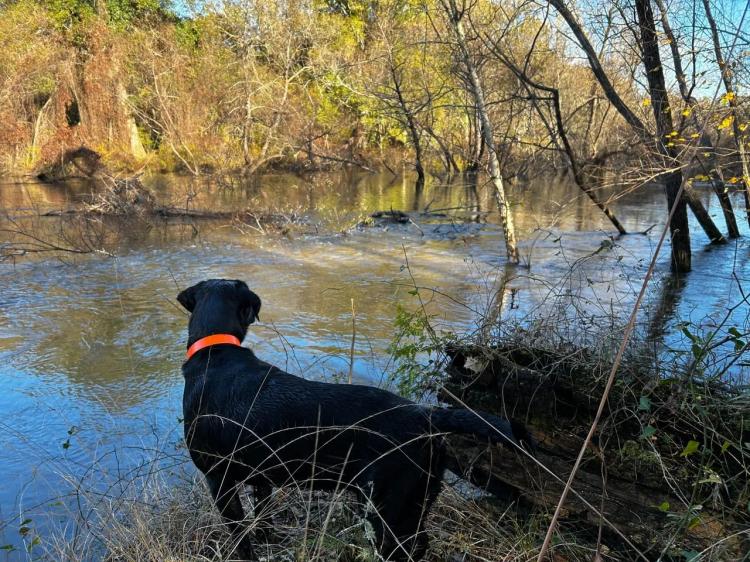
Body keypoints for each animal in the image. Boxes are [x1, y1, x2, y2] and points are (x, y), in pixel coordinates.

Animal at [178, 278, 528, 556]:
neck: (215, 353)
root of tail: (425, 415)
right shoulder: (261, 478)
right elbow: (263, 520)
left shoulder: (219, 481)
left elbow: (241, 539)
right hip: (415, 501)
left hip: (386, 509)